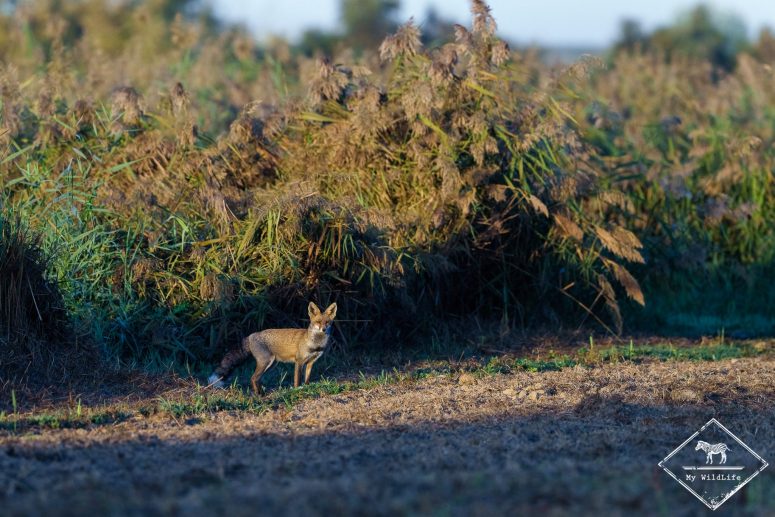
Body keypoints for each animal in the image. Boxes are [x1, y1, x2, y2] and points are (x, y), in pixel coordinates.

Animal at [207, 301, 337, 393]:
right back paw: (259, 395)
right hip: (266, 362)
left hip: (270, 364)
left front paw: (307, 388)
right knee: (253, 378)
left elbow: (307, 379)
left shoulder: (311, 362)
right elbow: (297, 380)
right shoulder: (299, 361)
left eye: (327, 322)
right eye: (318, 322)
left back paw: (261, 392)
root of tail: (252, 335)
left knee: (256, 378)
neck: (316, 344)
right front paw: (297, 390)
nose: (323, 329)